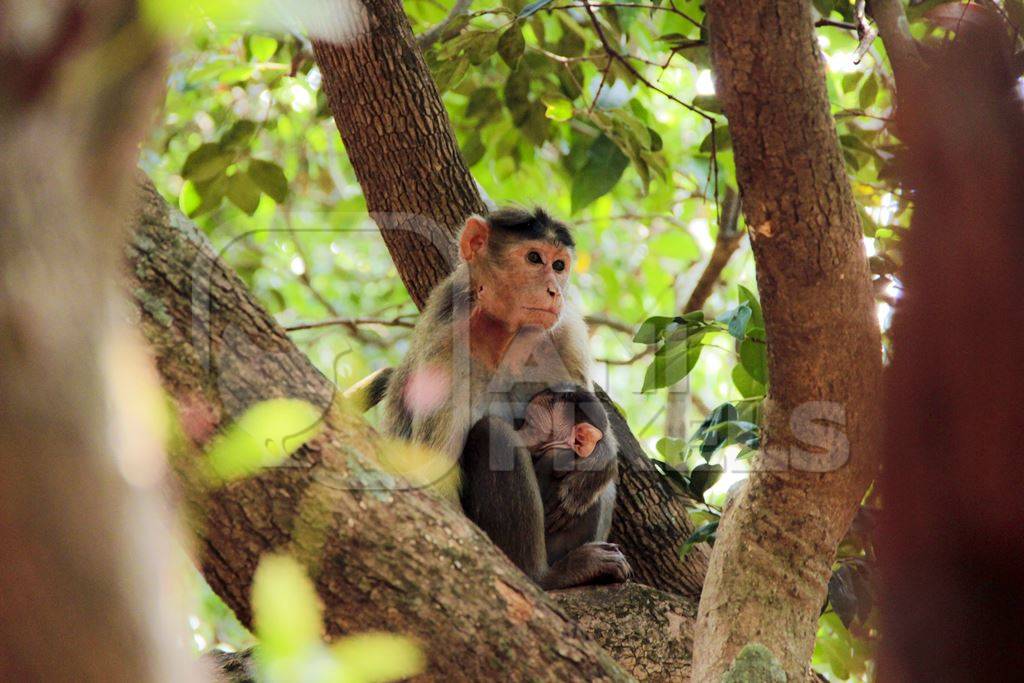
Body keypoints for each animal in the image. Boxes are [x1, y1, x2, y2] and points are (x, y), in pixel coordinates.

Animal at [380, 208, 626, 589]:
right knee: (491, 433)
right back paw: (545, 577)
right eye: (534, 258)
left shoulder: (566, 331)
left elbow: (591, 414)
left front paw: (596, 463)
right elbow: (435, 487)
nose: (554, 291)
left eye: (559, 265)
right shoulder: (442, 356)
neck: (499, 337)